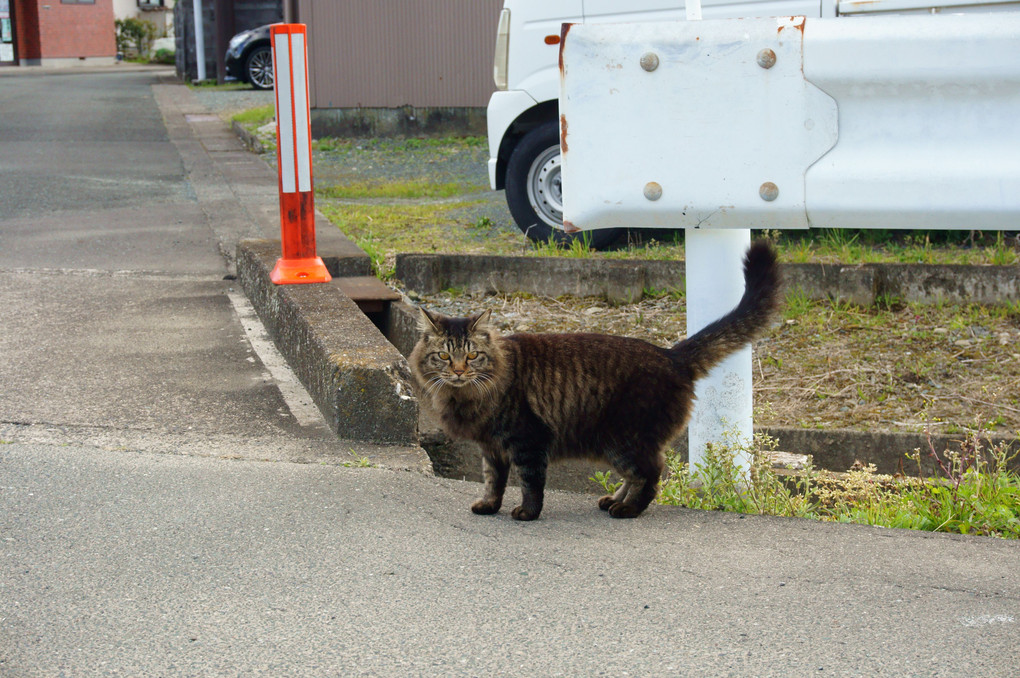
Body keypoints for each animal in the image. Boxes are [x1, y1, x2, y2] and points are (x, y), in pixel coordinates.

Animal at [410, 240, 775, 519]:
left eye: (472, 356)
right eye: (444, 356)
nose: (459, 371)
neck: (469, 396)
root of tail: (670, 355)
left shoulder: (528, 440)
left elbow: (530, 484)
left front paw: (527, 513)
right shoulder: (492, 447)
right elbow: (493, 481)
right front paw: (488, 506)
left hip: (623, 436)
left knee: (650, 473)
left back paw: (628, 510)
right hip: (618, 442)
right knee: (636, 474)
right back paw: (614, 501)